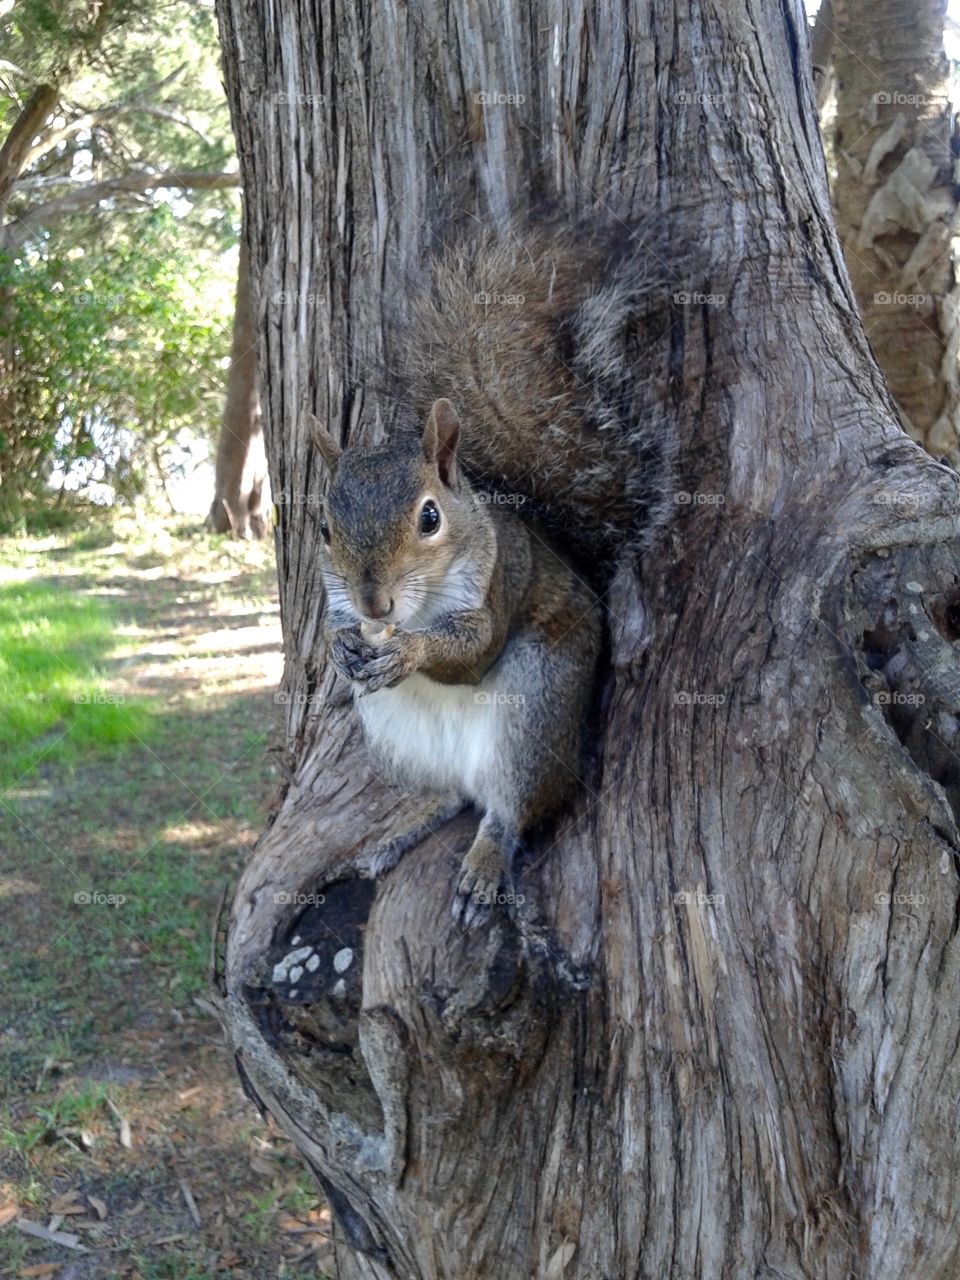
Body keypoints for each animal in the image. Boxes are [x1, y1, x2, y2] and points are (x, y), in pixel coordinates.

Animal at [312, 223, 679, 922]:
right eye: (323, 528)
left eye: (430, 517)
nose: (374, 607)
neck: (419, 605)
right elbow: (337, 632)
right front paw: (341, 648)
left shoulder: (494, 585)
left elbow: (473, 651)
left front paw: (411, 651)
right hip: (397, 738)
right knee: (453, 794)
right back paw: (408, 823)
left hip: (534, 716)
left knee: (508, 809)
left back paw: (484, 864)